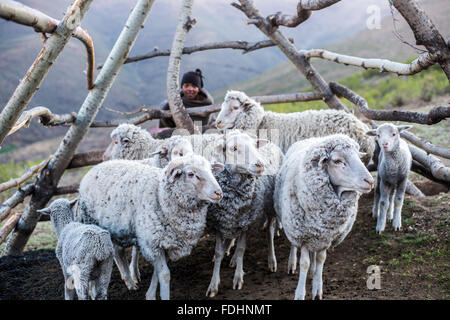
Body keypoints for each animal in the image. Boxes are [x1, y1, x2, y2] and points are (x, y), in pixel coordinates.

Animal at [78, 155, 225, 300]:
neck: (160, 195)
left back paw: (129, 281)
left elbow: (157, 273)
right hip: (93, 225)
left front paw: (150, 295)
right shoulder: (152, 241)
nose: (218, 193)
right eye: (191, 174)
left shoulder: (164, 242)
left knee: (118, 251)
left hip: (117, 230)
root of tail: (94, 168)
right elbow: (164, 275)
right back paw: (93, 291)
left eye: (211, 170)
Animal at [274, 134, 376, 300]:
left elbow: (321, 259)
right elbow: (304, 263)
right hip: (292, 223)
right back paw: (292, 263)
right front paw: (300, 293)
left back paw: (312, 271)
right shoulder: (303, 235)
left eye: (358, 157)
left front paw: (317, 288)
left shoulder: (327, 235)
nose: (370, 181)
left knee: (314, 254)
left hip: (317, 233)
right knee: (294, 246)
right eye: (338, 161)